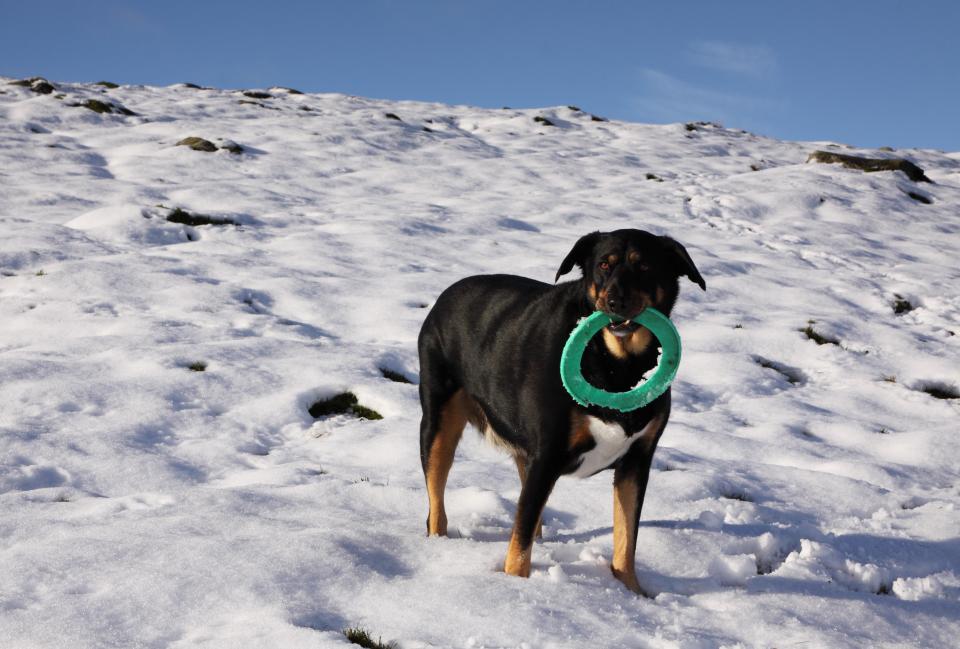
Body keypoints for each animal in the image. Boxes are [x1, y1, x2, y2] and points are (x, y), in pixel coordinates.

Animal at [416, 228, 700, 592]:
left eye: (645, 266)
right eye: (604, 265)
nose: (615, 302)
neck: (617, 363)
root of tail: (444, 296)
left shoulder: (637, 462)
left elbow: (626, 538)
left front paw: (630, 593)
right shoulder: (547, 455)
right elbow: (520, 541)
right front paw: (516, 586)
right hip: (439, 424)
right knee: (438, 501)